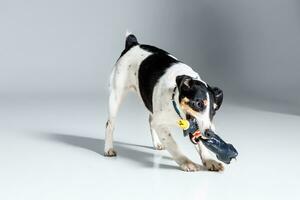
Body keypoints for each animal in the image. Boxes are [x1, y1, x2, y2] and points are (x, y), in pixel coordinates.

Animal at [104, 32, 233, 172]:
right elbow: (173, 144)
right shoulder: (161, 124)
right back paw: (108, 148)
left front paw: (210, 160)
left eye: (214, 110)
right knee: (110, 124)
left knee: (150, 121)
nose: (210, 133)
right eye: (198, 104)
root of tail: (133, 43)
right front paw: (186, 162)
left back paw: (157, 143)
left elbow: (201, 144)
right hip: (116, 96)